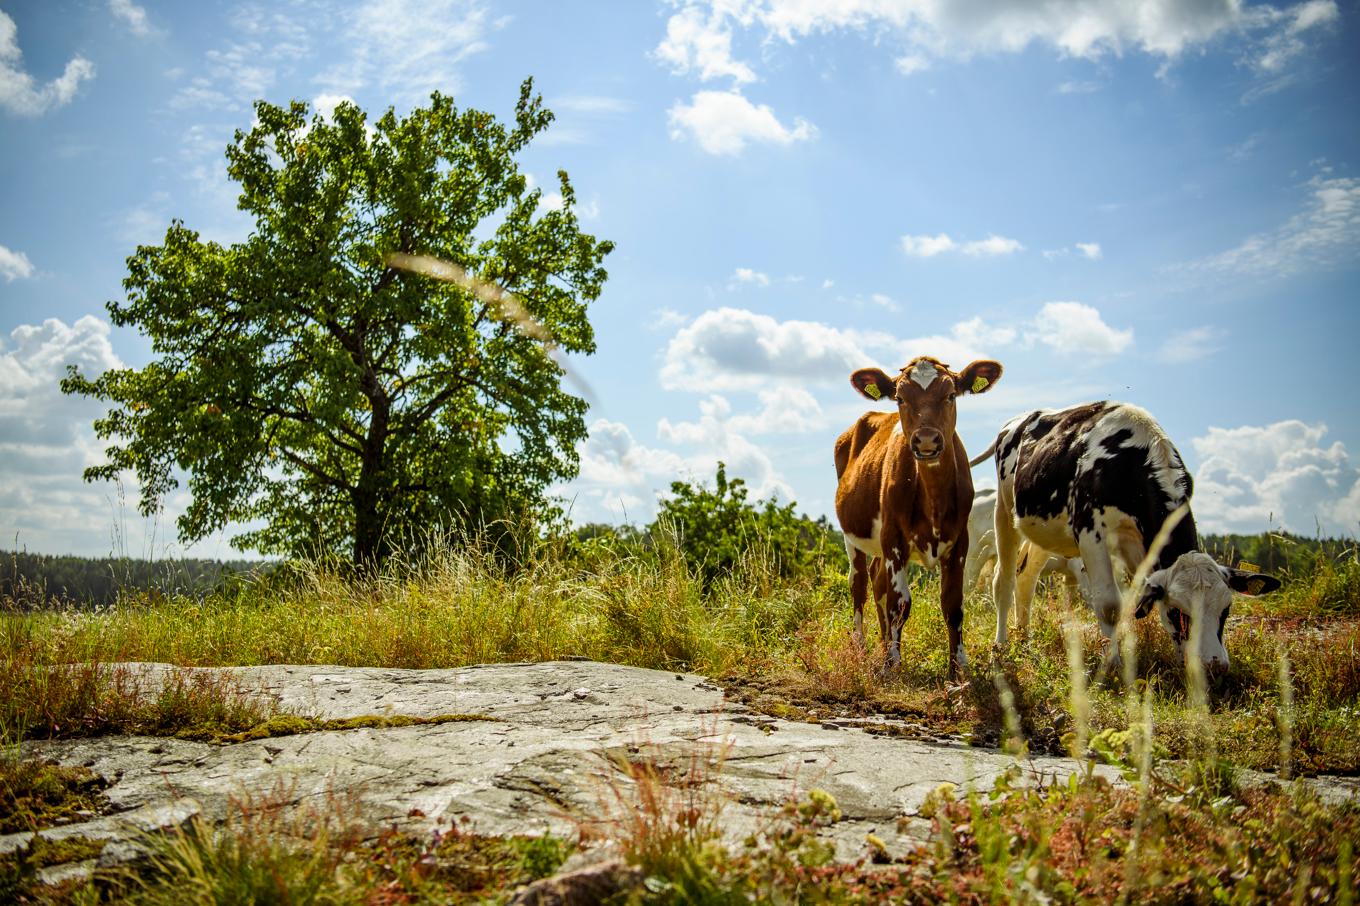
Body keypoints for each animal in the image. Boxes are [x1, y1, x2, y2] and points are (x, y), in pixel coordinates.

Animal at [826, 353, 1000, 677]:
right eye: (900, 398)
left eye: (950, 394)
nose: (927, 440)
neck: (932, 496)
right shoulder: (894, 538)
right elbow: (899, 603)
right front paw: (892, 665)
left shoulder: (960, 542)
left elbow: (953, 604)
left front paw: (958, 667)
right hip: (852, 537)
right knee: (859, 585)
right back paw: (861, 647)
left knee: (877, 581)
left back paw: (883, 643)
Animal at [973, 402, 1278, 669]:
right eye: (1178, 611)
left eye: (1225, 609)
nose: (1214, 665)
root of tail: (1020, 419)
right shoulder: (1090, 532)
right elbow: (1109, 604)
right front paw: (1113, 664)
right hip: (1005, 511)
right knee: (1004, 581)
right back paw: (1002, 645)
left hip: (1045, 530)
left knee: (1026, 579)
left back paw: (1024, 638)